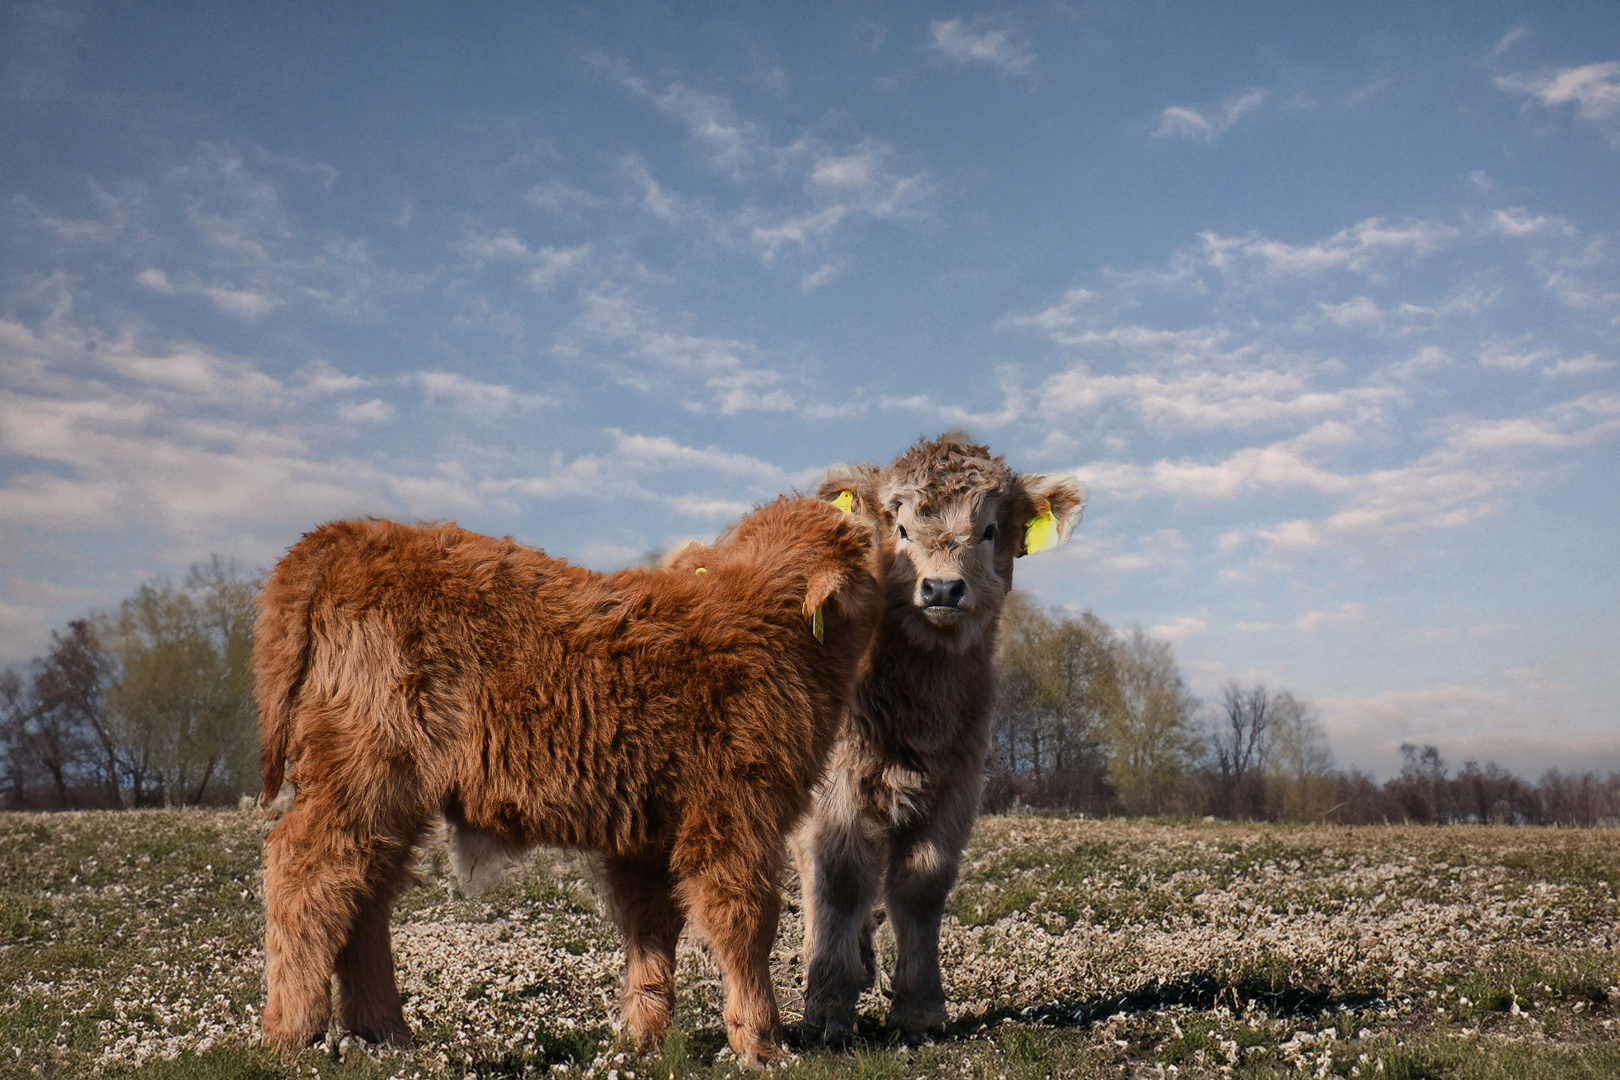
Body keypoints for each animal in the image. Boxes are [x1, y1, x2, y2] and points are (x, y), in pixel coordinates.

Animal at [254, 498, 887, 1062]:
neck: (765, 626)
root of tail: (356, 534)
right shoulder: (736, 814)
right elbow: (745, 921)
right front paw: (761, 1041)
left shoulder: (649, 833)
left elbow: (651, 925)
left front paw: (643, 1035)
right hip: (364, 770)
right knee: (307, 869)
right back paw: (293, 1029)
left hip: (389, 797)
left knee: (366, 889)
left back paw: (385, 1029)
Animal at [790, 433, 1082, 1042]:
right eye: (900, 528)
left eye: (990, 529)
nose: (943, 587)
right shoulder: (835, 787)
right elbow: (838, 878)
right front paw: (827, 1007)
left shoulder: (957, 783)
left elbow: (922, 885)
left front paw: (919, 1009)